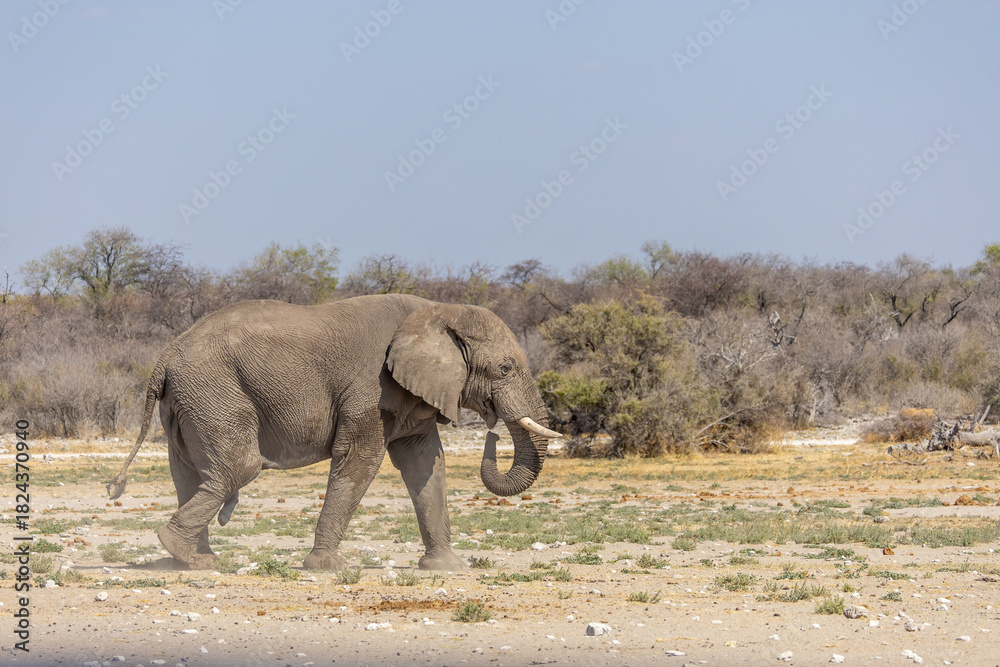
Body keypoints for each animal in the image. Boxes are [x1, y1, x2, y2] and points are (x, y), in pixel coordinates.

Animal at [106, 294, 560, 571]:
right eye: (505, 368)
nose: (493, 432)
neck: (435, 311)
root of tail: (164, 358)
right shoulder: (371, 388)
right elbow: (361, 460)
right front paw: (326, 567)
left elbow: (425, 466)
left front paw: (447, 568)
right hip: (212, 391)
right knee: (238, 466)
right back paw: (186, 554)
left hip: (188, 402)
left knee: (189, 474)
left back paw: (191, 558)